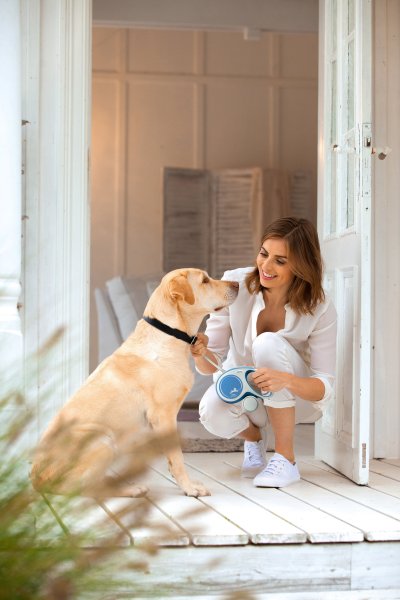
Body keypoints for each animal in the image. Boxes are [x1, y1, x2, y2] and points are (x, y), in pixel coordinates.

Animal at [30, 268, 239, 498]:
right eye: (205, 281)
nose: (237, 284)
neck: (170, 333)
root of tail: (35, 479)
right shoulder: (163, 415)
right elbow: (177, 457)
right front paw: (189, 488)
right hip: (103, 440)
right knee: (87, 489)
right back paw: (130, 489)